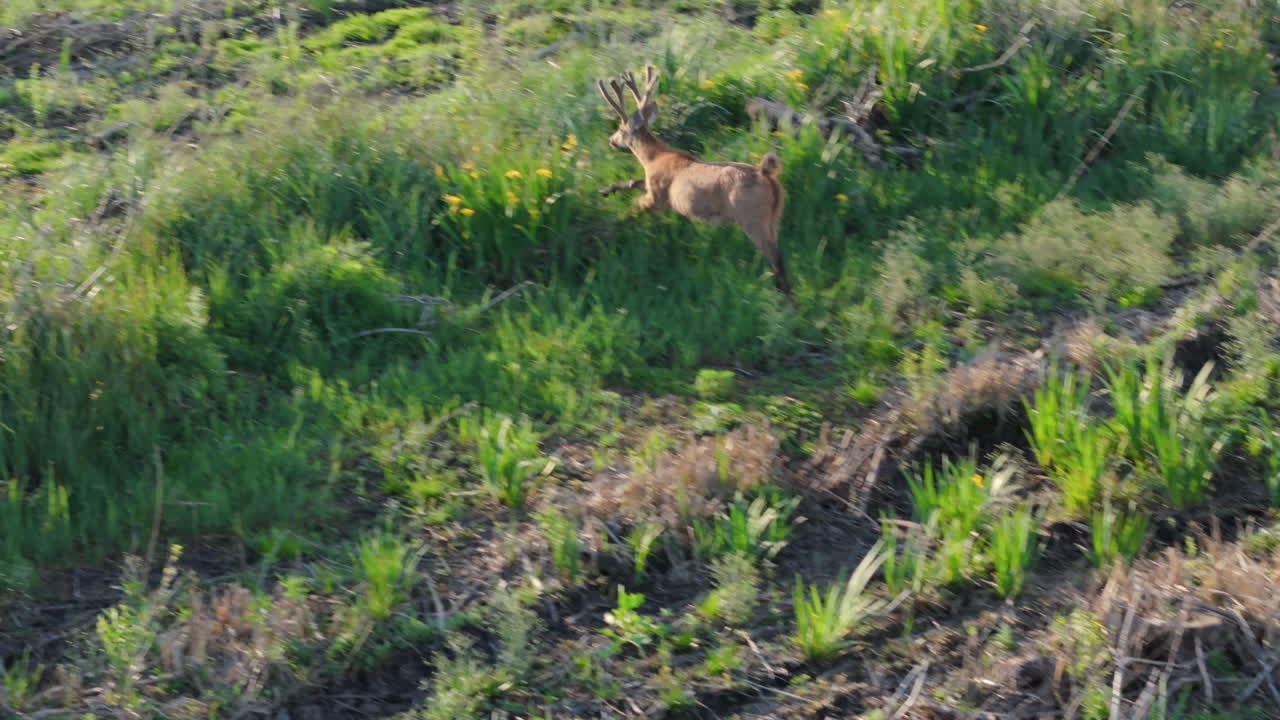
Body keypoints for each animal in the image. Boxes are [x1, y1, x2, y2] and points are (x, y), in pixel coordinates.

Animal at [596, 65, 793, 300]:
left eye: (620, 128)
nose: (611, 140)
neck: (653, 157)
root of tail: (766, 174)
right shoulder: (652, 186)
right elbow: (634, 181)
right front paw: (606, 190)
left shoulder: (658, 196)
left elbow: (633, 206)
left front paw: (611, 228)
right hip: (775, 216)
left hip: (752, 217)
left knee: (776, 258)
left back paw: (785, 300)